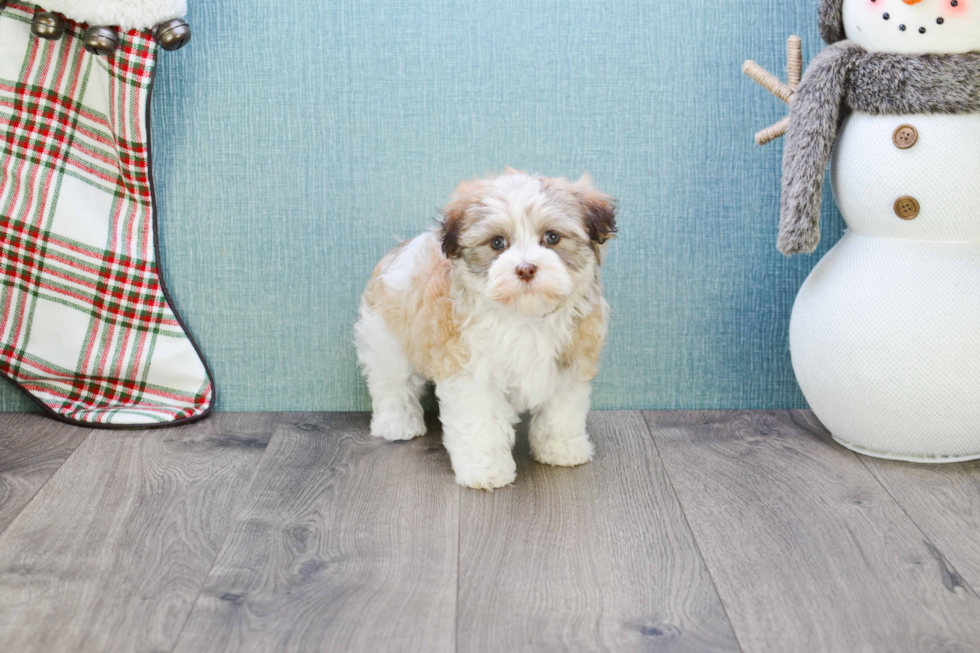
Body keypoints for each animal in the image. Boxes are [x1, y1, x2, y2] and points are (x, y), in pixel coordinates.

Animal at [352, 171, 616, 486]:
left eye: (552, 237)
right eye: (497, 242)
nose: (526, 268)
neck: (524, 315)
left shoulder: (571, 362)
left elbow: (562, 412)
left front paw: (561, 450)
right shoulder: (470, 373)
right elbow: (481, 421)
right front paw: (485, 470)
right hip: (386, 338)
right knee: (392, 383)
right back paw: (397, 424)